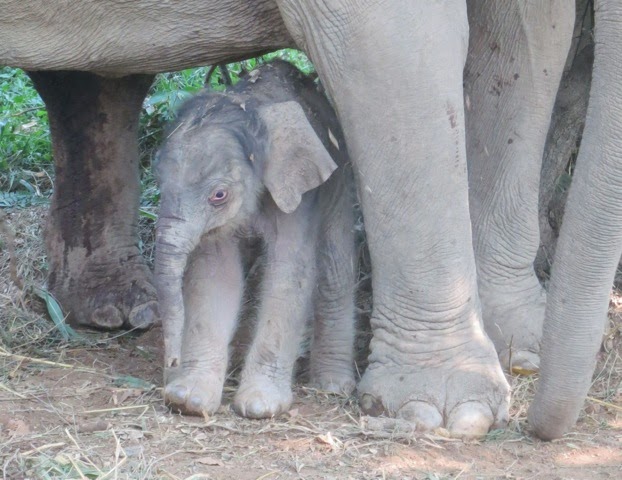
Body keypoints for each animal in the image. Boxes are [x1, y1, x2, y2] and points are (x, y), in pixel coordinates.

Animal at [154, 60, 358, 418]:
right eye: (158, 183)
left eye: (219, 195)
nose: (172, 364)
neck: (249, 107)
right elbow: (216, 276)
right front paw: (189, 400)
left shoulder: (298, 194)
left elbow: (289, 273)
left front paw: (260, 405)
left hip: (339, 176)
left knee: (335, 268)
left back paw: (332, 386)